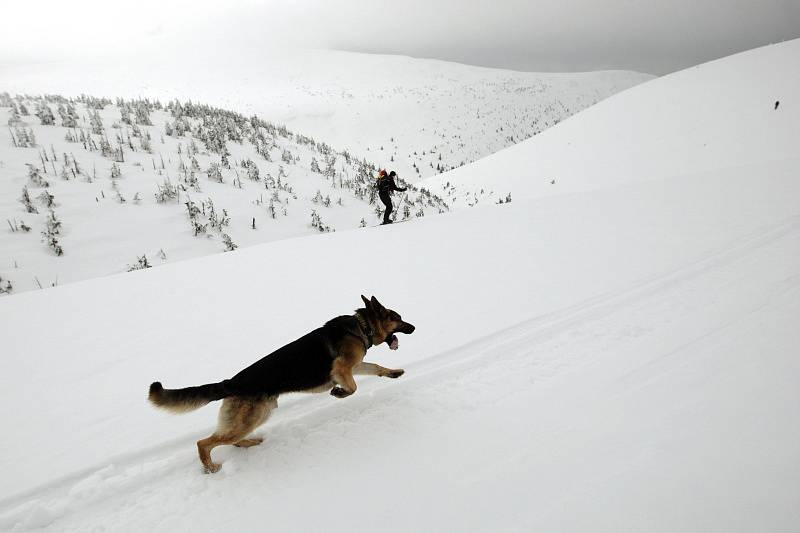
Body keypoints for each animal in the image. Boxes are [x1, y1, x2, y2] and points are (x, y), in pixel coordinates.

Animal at [146, 296, 416, 474]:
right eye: (399, 318)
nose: (414, 327)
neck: (361, 326)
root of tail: (230, 383)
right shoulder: (341, 369)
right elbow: (353, 388)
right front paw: (339, 393)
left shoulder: (354, 366)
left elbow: (375, 367)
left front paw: (393, 373)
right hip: (251, 417)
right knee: (204, 443)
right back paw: (211, 468)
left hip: (258, 415)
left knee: (229, 439)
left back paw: (250, 444)